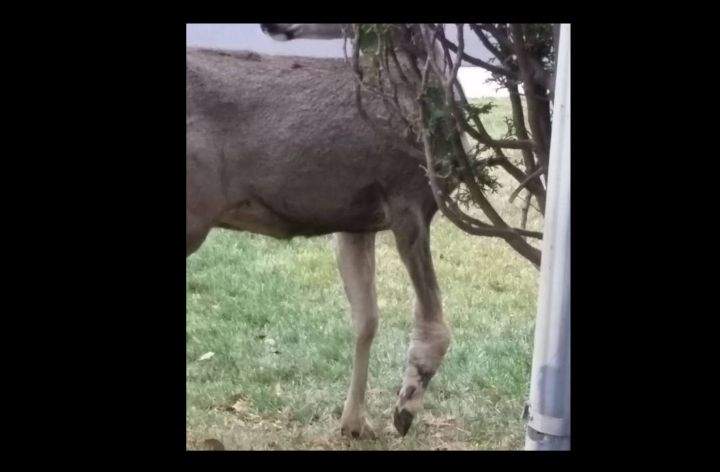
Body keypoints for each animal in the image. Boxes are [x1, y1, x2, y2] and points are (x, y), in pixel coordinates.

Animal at [187, 24, 455, 438]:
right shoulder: (407, 199)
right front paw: (404, 410)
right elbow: (433, 324)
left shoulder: (354, 222)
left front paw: (355, 424)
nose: (270, 26)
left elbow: (366, 319)